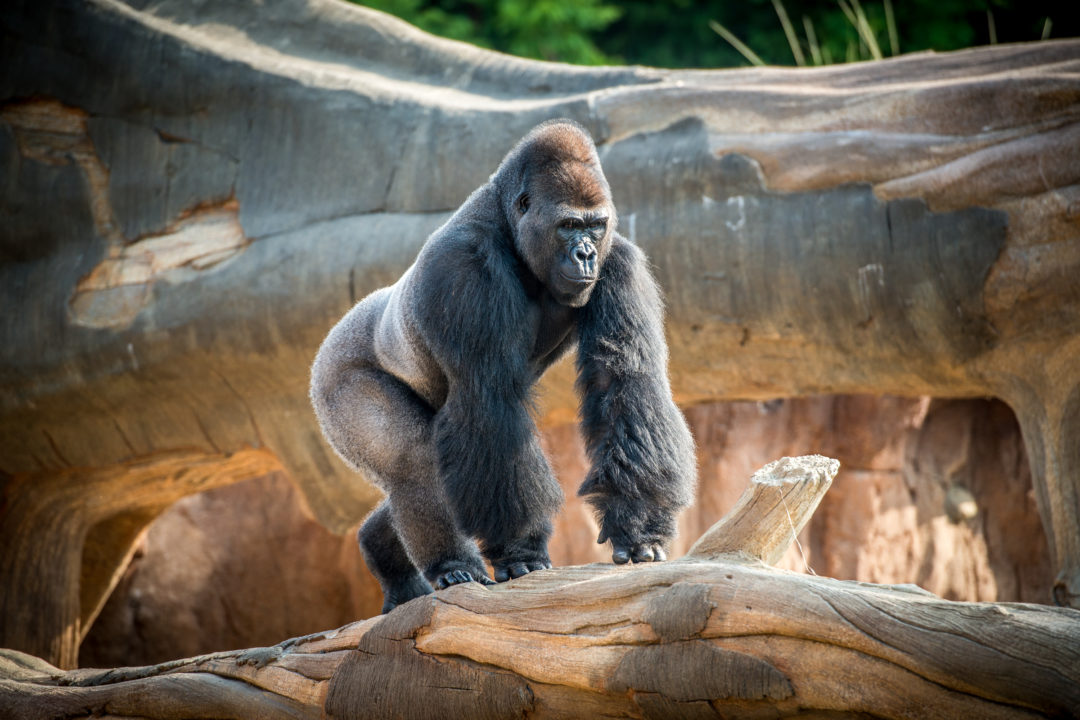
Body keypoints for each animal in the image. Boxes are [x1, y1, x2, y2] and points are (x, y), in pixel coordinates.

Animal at [311, 119, 699, 613]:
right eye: (568, 226)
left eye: (595, 226)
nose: (586, 254)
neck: (509, 223)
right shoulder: (464, 266)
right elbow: (489, 400)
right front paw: (520, 549)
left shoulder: (619, 258)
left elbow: (625, 384)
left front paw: (638, 524)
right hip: (335, 377)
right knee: (412, 458)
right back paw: (451, 565)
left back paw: (383, 551)